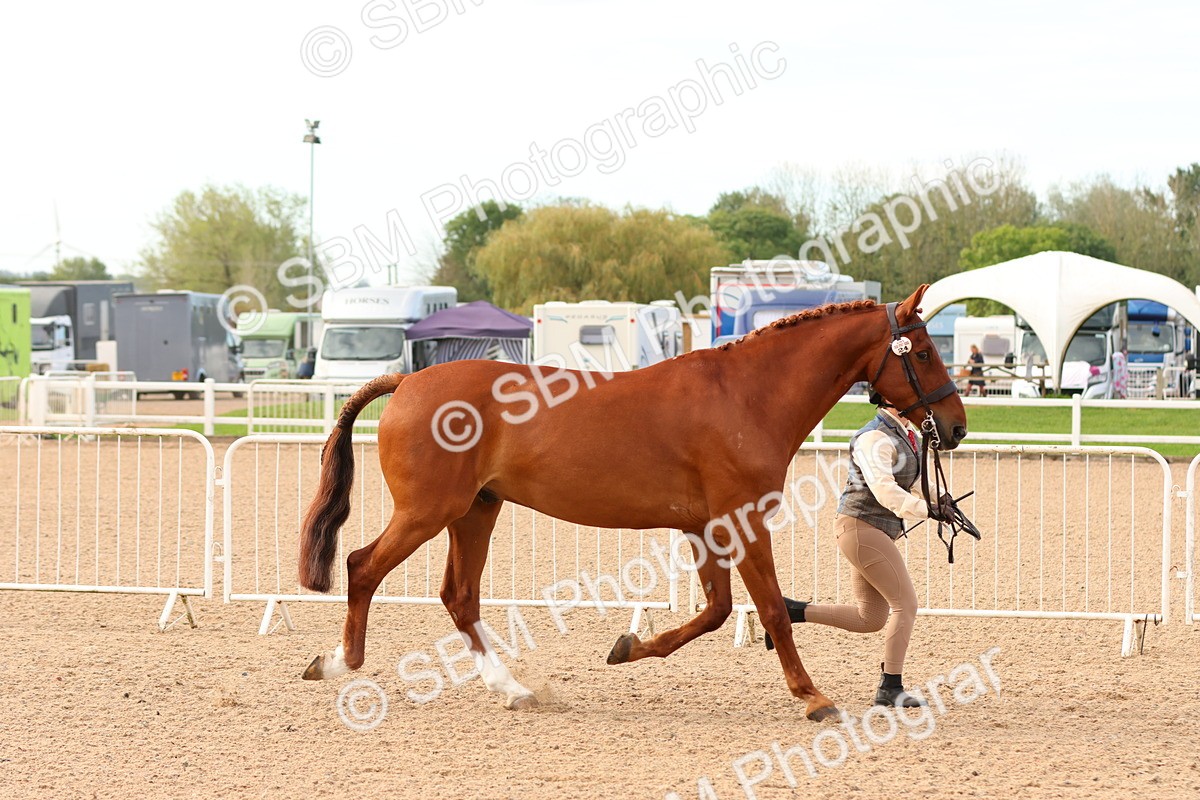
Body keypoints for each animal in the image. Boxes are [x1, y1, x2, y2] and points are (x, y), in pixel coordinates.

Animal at [297, 284, 966, 721]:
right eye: (924, 352)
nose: (957, 427)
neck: (747, 396)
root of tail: (408, 381)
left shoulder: (706, 528)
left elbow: (717, 612)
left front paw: (628, 649)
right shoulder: (743, 523)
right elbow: (773, 611)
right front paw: (814, 698)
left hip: (475, 512)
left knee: (459, 596)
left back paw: (512, 689)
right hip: (428, 513)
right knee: (362, 567)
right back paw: (337, 664)